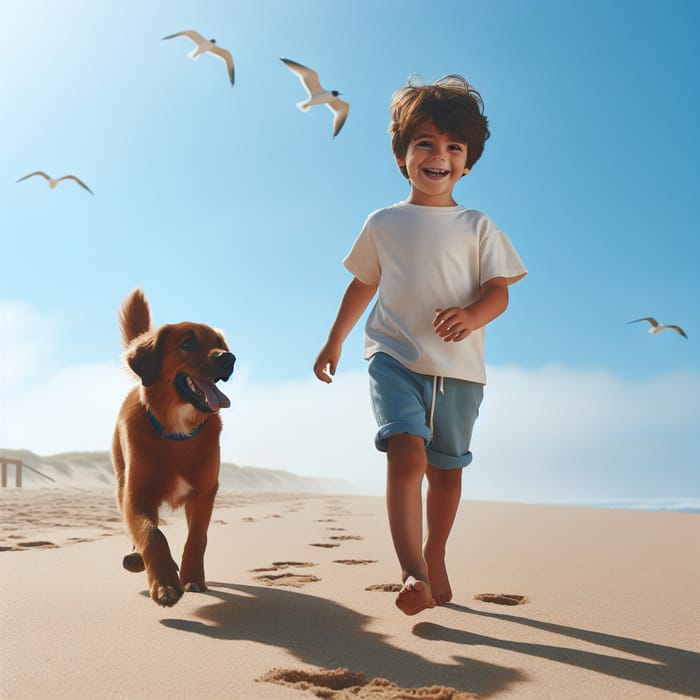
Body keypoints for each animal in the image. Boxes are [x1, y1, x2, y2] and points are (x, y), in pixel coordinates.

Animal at [112, 288, 235, 604]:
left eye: (218, 344)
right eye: (187, 344)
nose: (229, 358)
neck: (177, 432)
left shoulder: (205, 493)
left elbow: (197, 537)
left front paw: (191, 577)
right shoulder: (137, 495)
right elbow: (152, 534)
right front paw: (165, 583)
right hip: (121, 481)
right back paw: (136, 558)